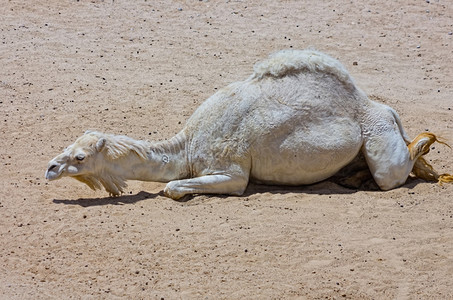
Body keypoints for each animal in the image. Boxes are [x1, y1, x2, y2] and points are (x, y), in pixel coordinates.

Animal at [44, 49, 450, 199]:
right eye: (67, 148)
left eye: (80, 158)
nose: (49, 168)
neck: (187, 144)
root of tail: (381, 107)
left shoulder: (232, 173)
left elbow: (173, 187)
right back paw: (355, 177)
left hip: (378, 136)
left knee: (393, 173)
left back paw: (427, 143)